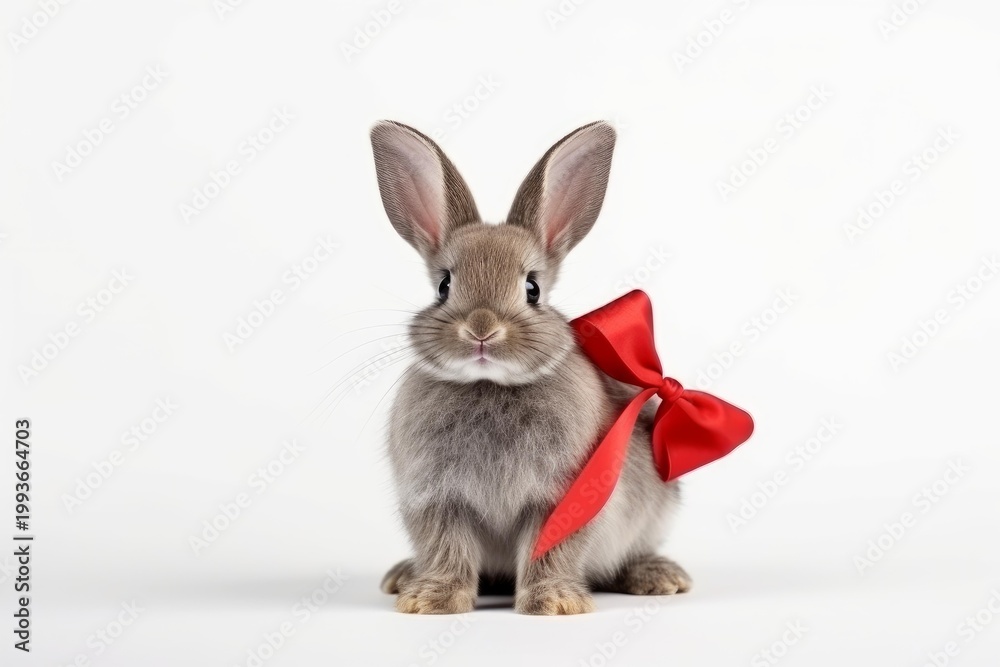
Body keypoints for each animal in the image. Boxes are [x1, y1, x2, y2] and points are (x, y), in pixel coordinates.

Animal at [369, 120, 689, 615]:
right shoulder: (438, 499)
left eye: (532, 288)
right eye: (444, 286)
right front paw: (430, 600)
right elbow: (447, 549)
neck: (489, 384)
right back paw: (403, 576)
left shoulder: (562, 500)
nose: (482, 329)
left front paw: (554, 603)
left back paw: (660, 576)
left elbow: (551, 550)